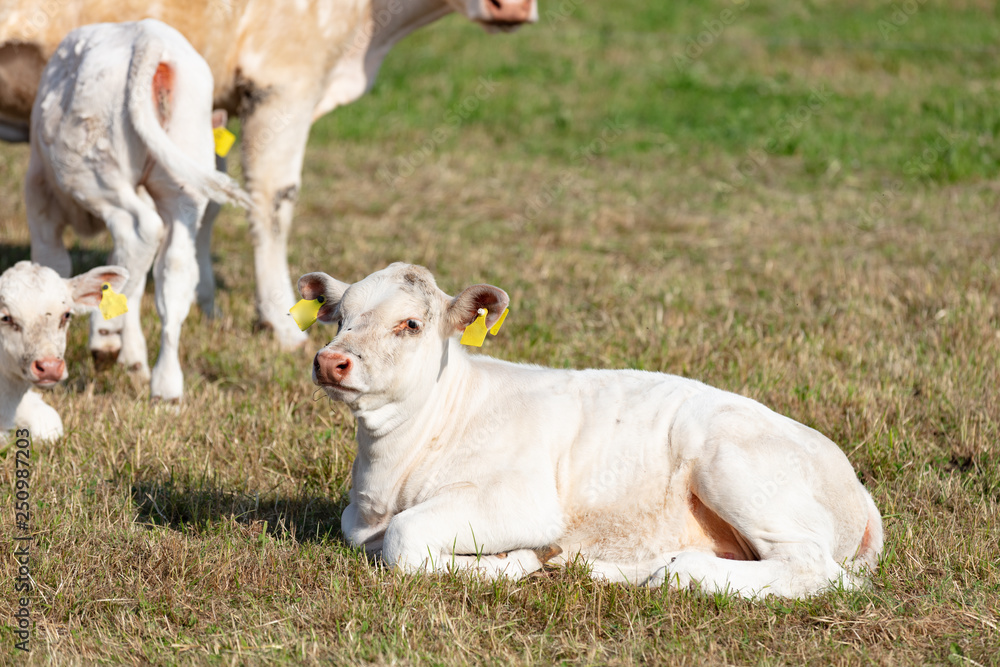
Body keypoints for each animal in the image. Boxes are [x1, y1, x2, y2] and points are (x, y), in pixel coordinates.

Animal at [0, 0, 536, 352]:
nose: (511, 7)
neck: (367, 35)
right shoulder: (284, 84)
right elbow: (274, 200)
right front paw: (281, 321)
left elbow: (211, 207)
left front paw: (208, 306)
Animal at [25, 18, 252, 402]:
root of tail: (149, 35)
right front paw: (135, 360)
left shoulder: (40, 198)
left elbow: (55, 264)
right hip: (183, 189)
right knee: (174, 271)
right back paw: (165, 382)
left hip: (94, 174)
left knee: (138, 230)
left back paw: (104, 338)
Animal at [302, 264, 884, 600]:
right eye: (340, 318)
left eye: (411, 324)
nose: (330, 361)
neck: (389, 476)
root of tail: (855, 486)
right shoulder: (359, 517)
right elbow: (366, 535)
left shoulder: (521, 500)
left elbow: (405, 540)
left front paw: (511, 561)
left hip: (736, 466)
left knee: (811, 568)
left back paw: (679, 570)